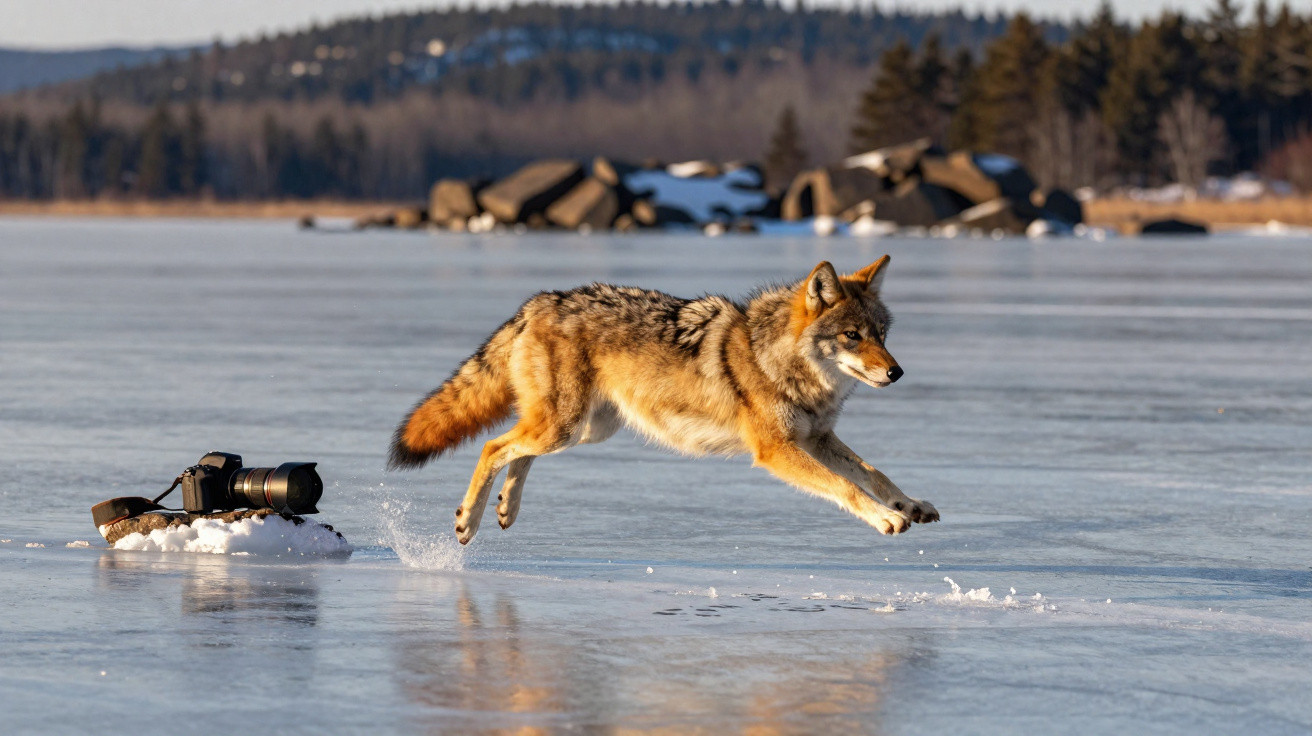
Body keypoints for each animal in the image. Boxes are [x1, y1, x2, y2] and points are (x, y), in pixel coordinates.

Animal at [388, 255, 938, 544]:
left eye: (882, 334)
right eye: (851, 336)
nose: (896, 371)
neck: (778, 360)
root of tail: (538, 301)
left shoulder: (818, 437)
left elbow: (874, 473)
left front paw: (908, 504)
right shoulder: (778, 450)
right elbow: (846, 487)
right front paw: (886, 517)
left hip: (583, 429)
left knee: (516, 452)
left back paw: (506, 509)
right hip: (566, 426)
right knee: (493, 447)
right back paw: (470, 520)